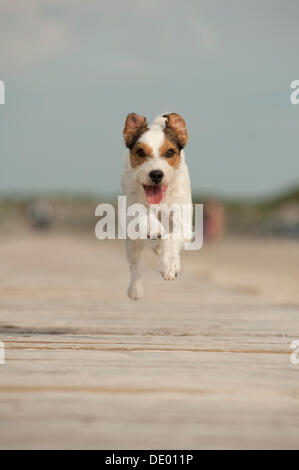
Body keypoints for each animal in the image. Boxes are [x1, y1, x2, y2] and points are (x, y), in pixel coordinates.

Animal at [121, 112, 192, 300]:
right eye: (140, 151)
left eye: (170, 152)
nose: (156, 174)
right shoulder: (133, 202)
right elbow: (142, 212)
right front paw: (153, 228)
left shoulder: (183, 220)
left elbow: (172, 238)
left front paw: (169, 265)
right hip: (132, 244)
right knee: (135, 265)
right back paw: (135, 290)